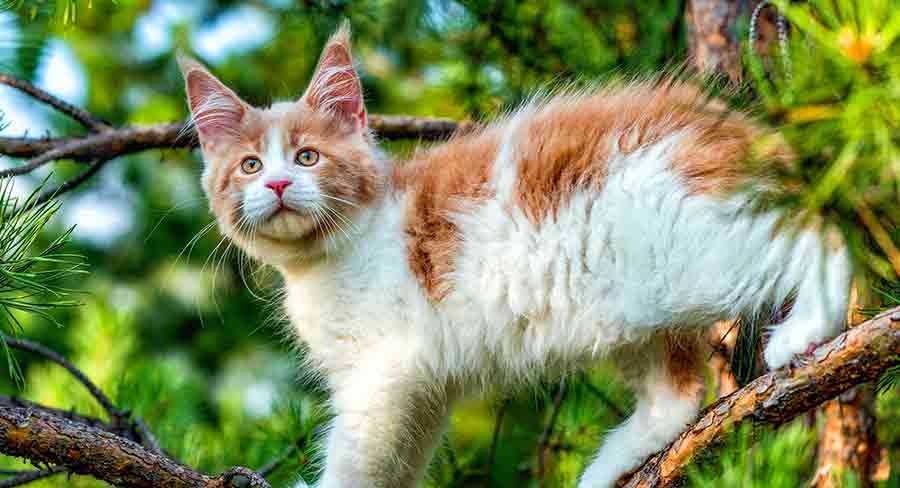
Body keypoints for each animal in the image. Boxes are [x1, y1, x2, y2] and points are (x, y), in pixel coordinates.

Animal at [178, 24, 852, 488]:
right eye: (250, 166)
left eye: (308, 157)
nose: (277, 185)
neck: (333, 254)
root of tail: (735, 130)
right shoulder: (418, 392)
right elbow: (392, 464)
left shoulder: (382, 374)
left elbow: (352, 459)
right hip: (630, 305)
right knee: (679, 395)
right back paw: (605, 469)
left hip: (693, 251)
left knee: (819, 237)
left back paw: (807, 329)